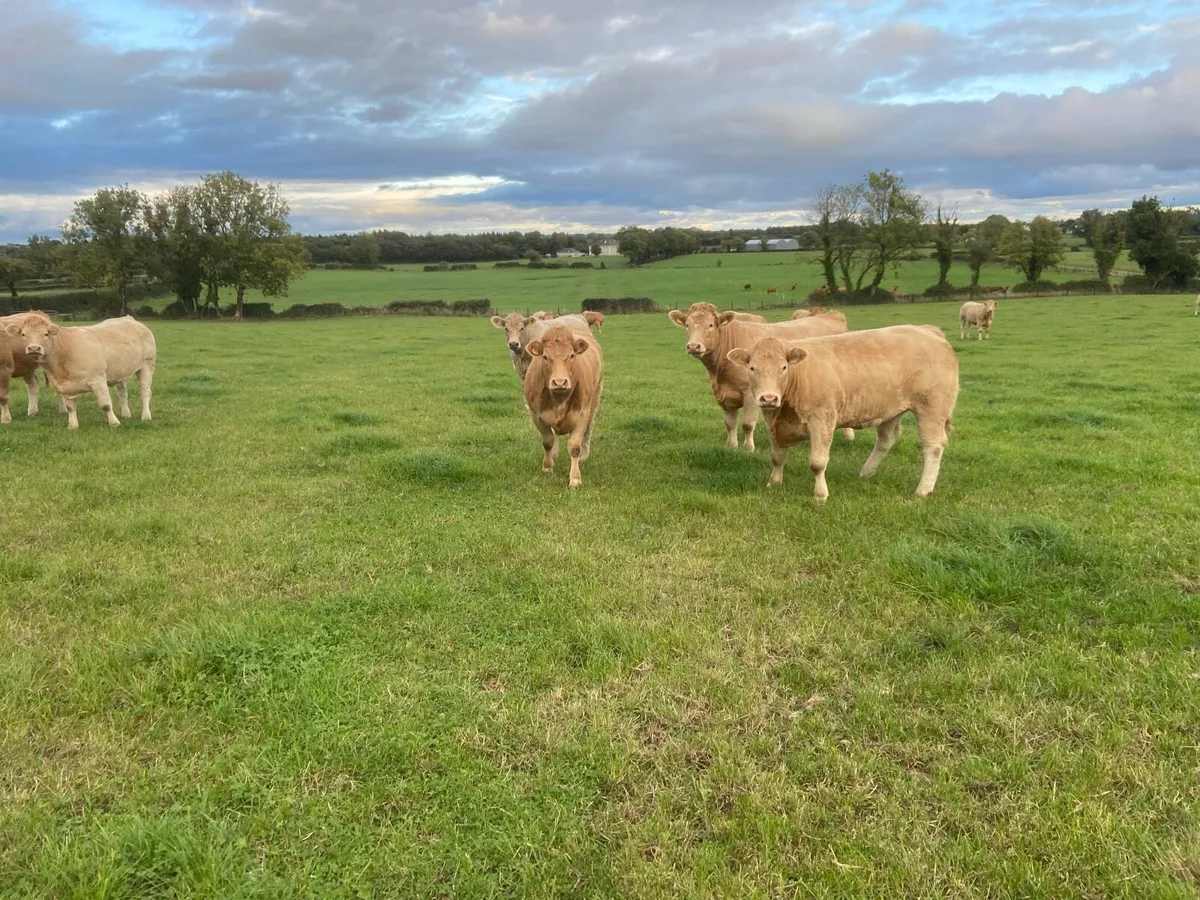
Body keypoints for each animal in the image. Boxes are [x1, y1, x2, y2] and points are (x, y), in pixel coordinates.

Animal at [5, 314, 156, 429]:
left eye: (46, 334)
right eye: (23, 334)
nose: (34, 348)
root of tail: (129, 318)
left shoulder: (98, 380)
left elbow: (106, 404)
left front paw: (114, 423)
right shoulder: (64, 386)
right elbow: (70, 407)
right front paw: (73, 425)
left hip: (147, 365)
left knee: (145, 392)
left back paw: (146, 416)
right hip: (120, 371)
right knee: (122, 392)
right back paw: (126, 414)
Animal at [523, 325, 603, 489]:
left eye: (572, 355)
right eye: (545, 357)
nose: (559, 382)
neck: (559, 400)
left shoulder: (582, 414)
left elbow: (574, 447)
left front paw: (575, 478)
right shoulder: (536, 416)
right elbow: (548, 441)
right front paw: (547, 466)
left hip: (595, 398)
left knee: (589, 428)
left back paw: (584, 455)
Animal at [667, 303, 852, 451]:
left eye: (710, 325)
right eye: (687, 325)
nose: (693, 346)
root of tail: (832, 315)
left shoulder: (749, 393)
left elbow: (747, 424)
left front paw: (749, 448)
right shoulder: (724, 394)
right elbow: (730, 423)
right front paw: (731, 447)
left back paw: (848, 435)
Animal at [727, 325, 958, 499]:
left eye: (783, 367)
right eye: (752, 367)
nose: (768, 398)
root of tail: (928, 330)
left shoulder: (822, 421)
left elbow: (818, 462)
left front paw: (820, 495)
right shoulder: (774, 423)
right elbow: (777, 457)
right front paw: (773, 483)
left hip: (932, 407)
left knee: (933, 446)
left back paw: (923, 490)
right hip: (891, 409)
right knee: (887, 439)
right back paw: (866, 473)